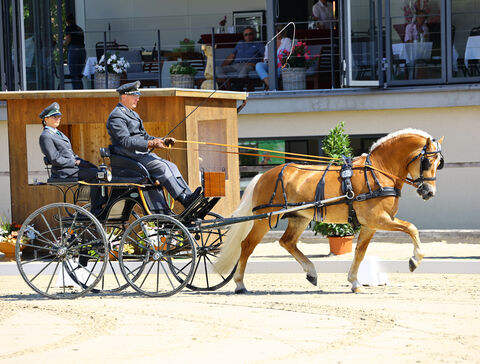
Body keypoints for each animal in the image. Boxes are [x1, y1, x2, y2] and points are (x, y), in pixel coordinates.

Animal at [216, 128, 444, 292]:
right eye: (426, 161)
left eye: (439, 163)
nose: (429, 192)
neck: (379, 171)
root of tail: (264, 175)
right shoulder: (379, 219)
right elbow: (411, 228)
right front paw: (415, 260)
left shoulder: (370, 225)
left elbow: (360, 252)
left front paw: (354, 282)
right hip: (265, 219)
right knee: (247, 245)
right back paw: (239, 284)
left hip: (299, 217)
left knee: (287, 242)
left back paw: (311, 272)